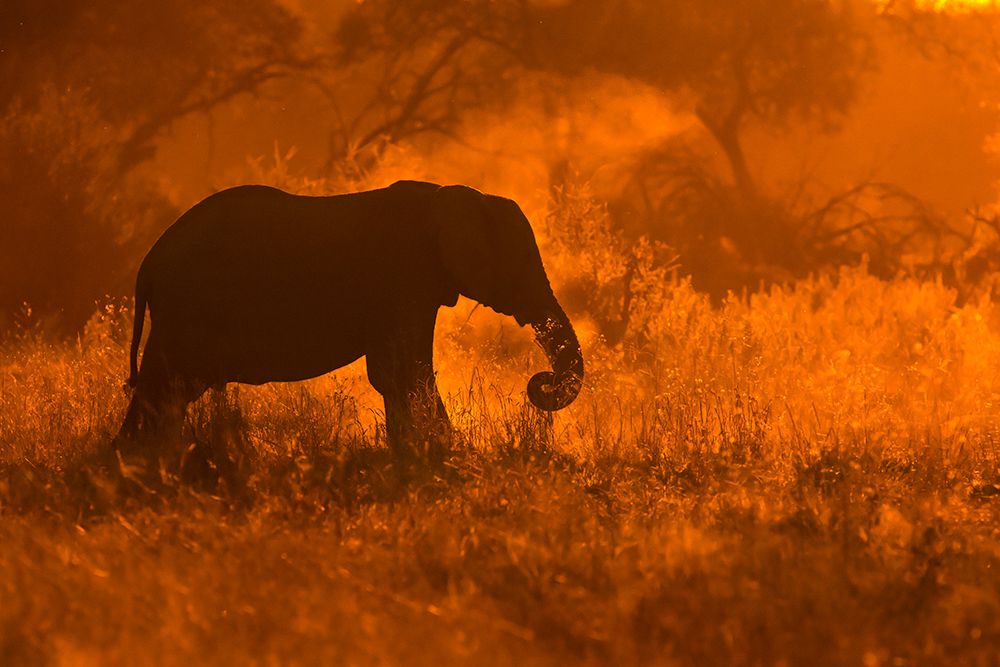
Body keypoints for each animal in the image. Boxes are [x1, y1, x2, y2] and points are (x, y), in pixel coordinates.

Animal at [115, 180, 584, 450]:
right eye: (520, 266)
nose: (541, 383)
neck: (447, 196)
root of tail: (147, 265)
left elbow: (398, 375)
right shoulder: (403, 279)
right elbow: (403, 371)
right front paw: (446, 453)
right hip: (186, 311)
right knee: (165, 389)